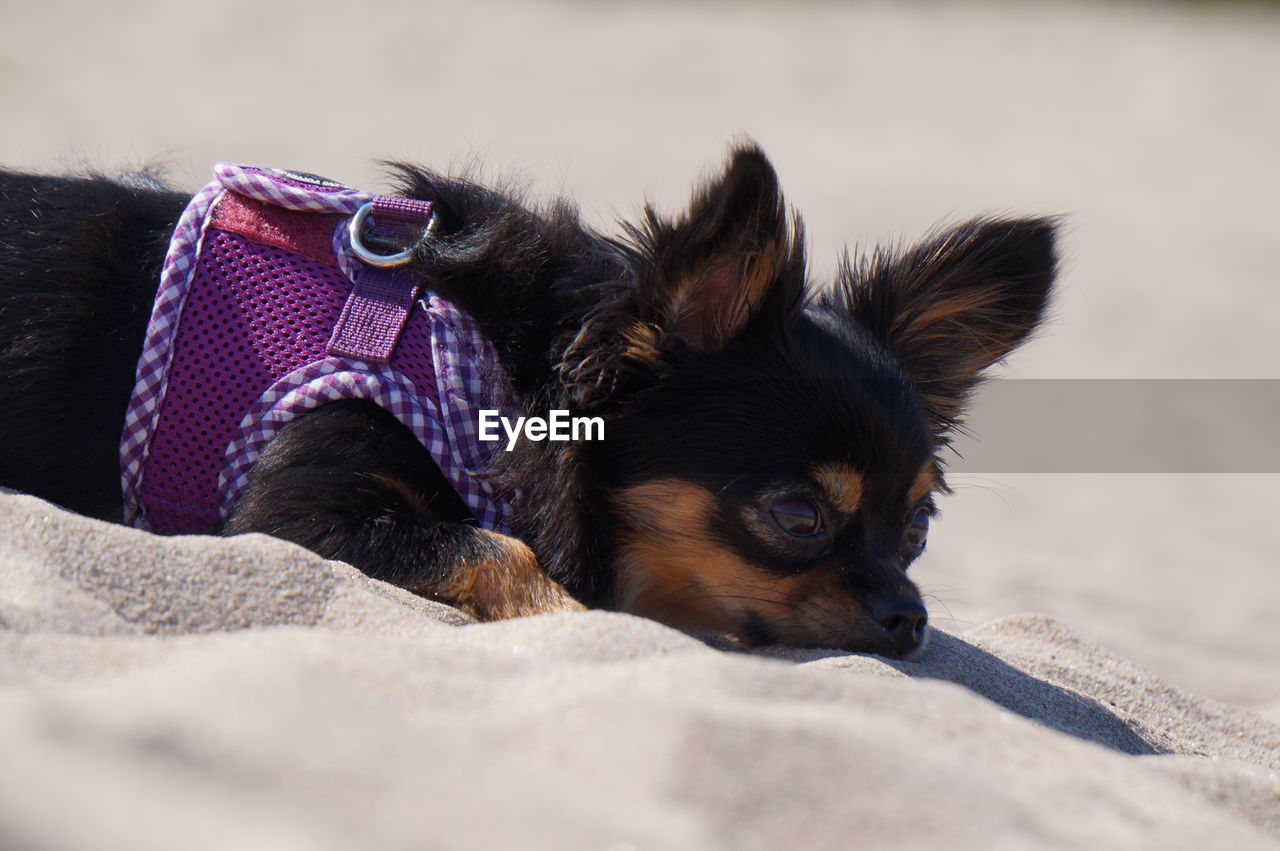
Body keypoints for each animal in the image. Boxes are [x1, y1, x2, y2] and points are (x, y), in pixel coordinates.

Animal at [0, 145, 1059, 652]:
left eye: (917, 530)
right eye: (797, 515)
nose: (909, 618)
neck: (499, 378)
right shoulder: (295, 510)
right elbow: (506, 553)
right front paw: (577, 613)